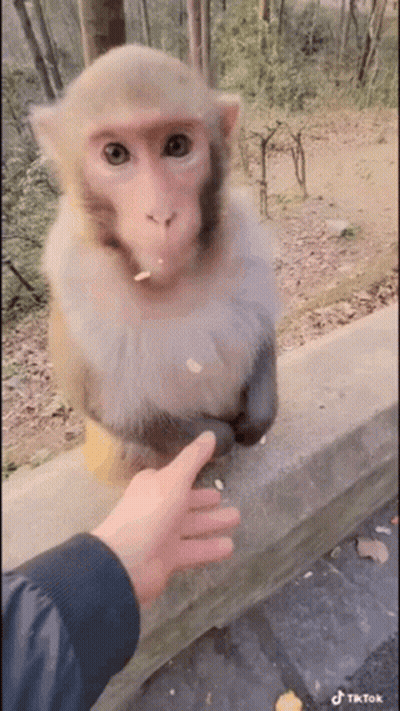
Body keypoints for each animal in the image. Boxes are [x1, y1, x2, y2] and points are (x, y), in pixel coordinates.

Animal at [31, 44, 278, 480]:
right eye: (115, 154)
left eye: (177, 146)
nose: (161, 214)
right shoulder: (76, 272)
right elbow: (97, 400)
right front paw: (217, 439)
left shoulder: (241, 232)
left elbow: (260, 325)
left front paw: (257, 418)